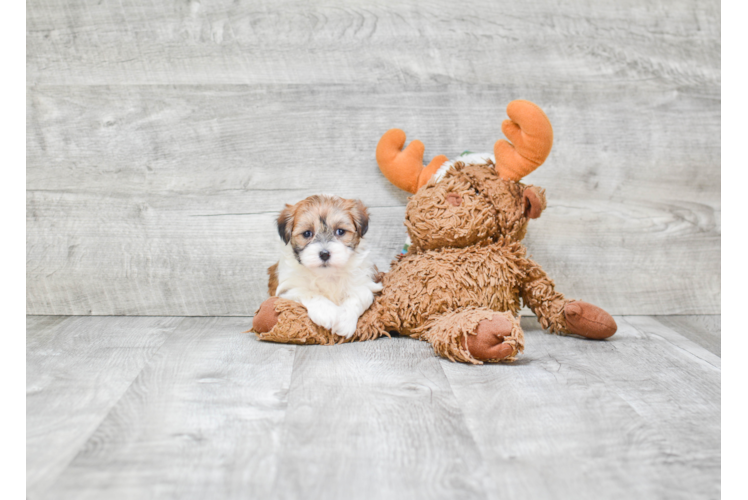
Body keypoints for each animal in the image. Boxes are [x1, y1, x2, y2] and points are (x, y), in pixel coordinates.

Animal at [268, 194, 382, 336]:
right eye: (307, 233)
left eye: (340, 231)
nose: (324, 254)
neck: (327, 274)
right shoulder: (286, 289)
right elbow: (308, 292)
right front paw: (327, 312)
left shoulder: (366, 282)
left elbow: (361, 295)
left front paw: (345, 320)